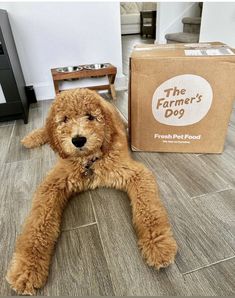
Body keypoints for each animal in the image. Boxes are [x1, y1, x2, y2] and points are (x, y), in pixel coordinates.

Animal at [5, 88, 176, 294]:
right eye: (64, 119)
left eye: (90, 117)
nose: (78, 140)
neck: (89, 161)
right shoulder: (52, 184)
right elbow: (37, 225)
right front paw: (27, 269)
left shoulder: (135, 173)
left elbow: (149, 211)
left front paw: (158, 245)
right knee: (46, 130)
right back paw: (30, 138)